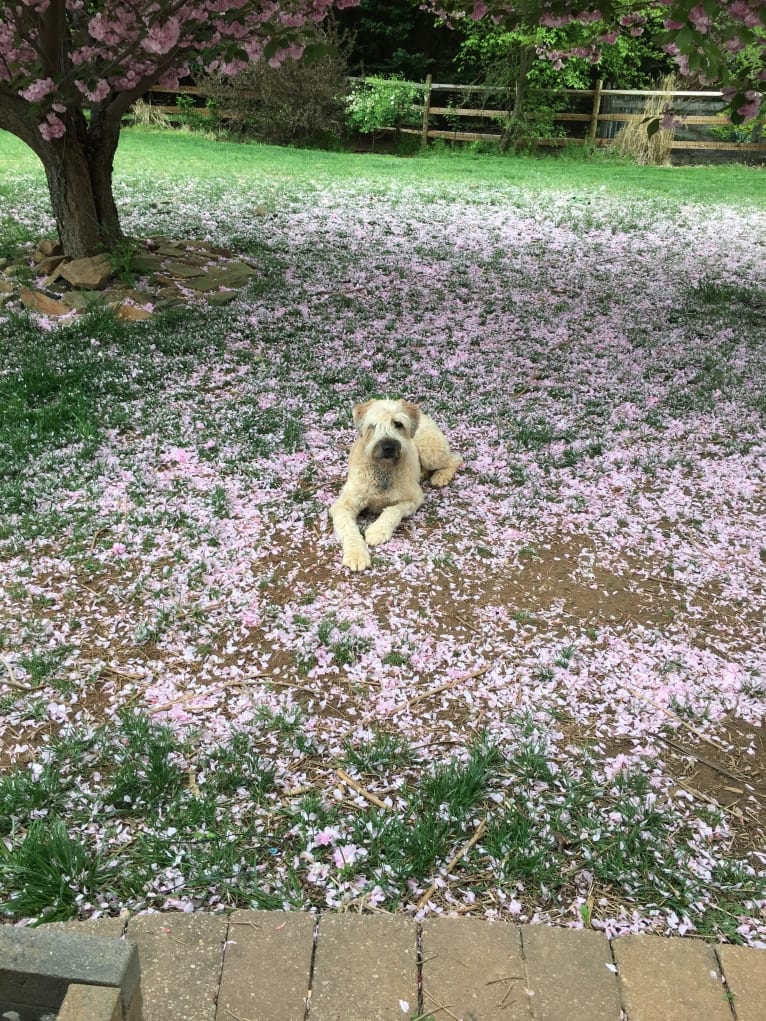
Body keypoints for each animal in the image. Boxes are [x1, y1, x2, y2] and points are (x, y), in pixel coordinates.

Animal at [330, 398, 461, 571]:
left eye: (398, 424)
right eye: (373, 425)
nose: (388, 447)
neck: (384, 470)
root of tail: (423, 414)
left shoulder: (414, 498)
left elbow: (393, 510)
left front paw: (377, 531)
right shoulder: (343, 505)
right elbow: (349, 529)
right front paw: (356, 554)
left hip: (430, 452)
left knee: (456, 459)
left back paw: (441, 476)